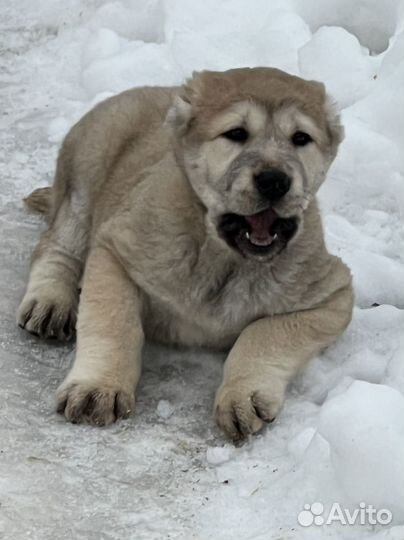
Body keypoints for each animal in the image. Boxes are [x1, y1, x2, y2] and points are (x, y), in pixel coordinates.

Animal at [17, 67, 352, 440]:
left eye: (301, 138)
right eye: (236, 134)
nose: (274, 180)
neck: (223, 258)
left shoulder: (333, 295)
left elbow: (266, 333)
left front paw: (242, 395)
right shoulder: (114, 249)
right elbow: (113, 320)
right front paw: (97, 386)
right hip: (86, 172)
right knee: (56, 246)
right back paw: (50, 302)